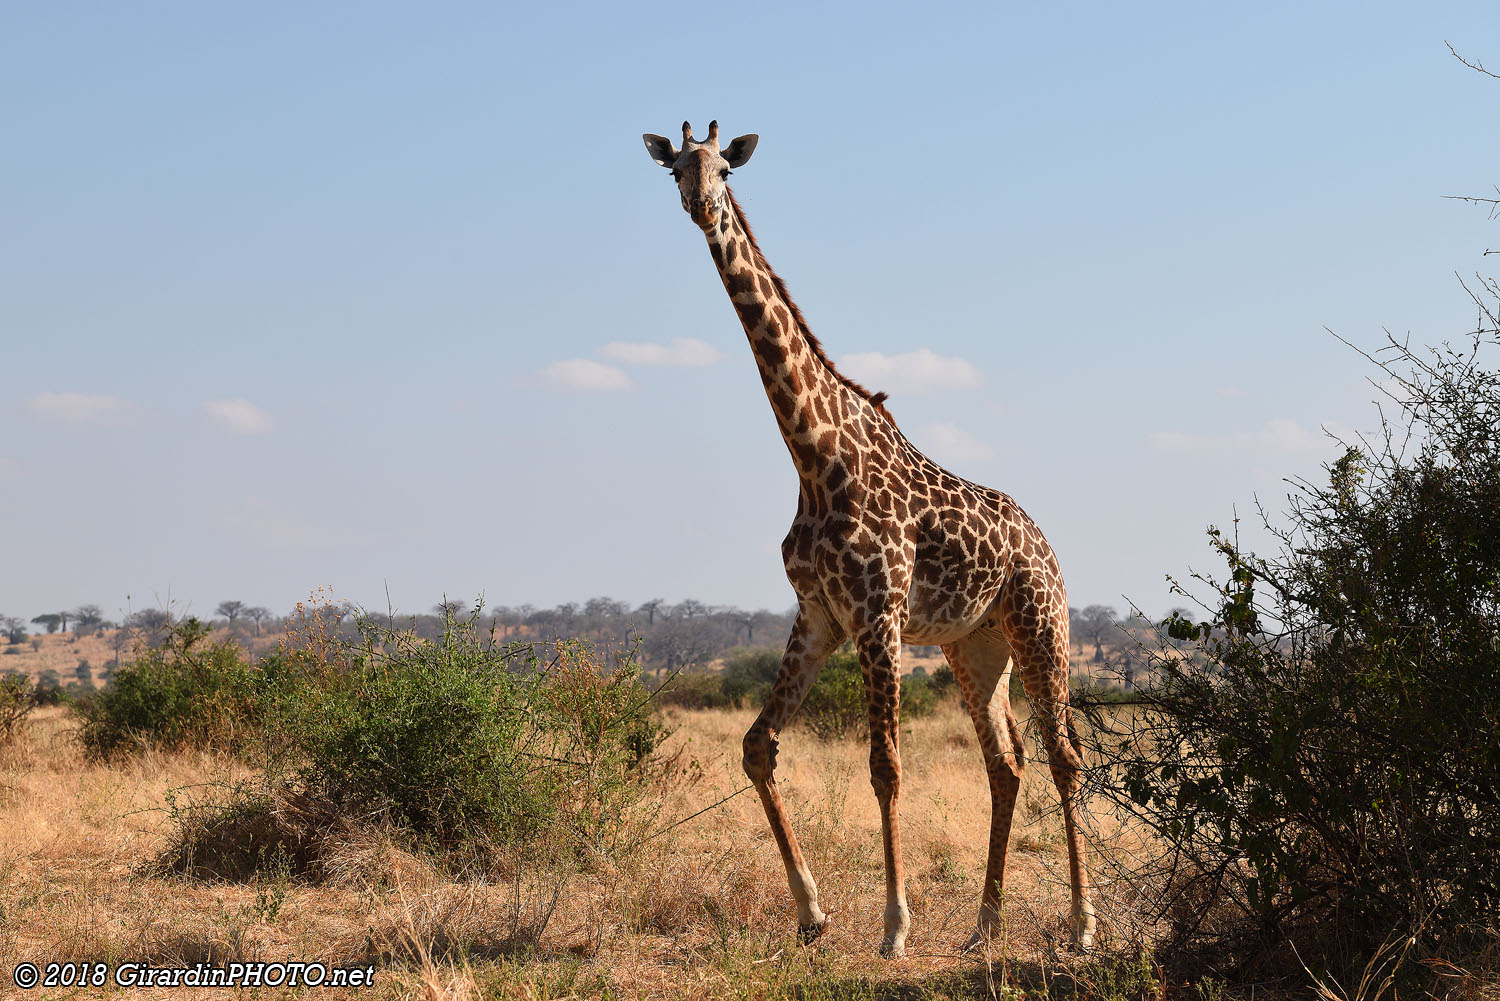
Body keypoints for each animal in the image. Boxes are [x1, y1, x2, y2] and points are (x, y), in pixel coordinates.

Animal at [642, 121, 1096, 958]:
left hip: (1042, 626)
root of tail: (1045, 544)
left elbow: (885, 764)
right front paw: (811, 913)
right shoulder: (820, 614)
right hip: (974, 645)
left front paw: (894, 926)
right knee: (1006, 762)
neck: (812, 454)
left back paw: (1081, 924)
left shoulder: (878, 613)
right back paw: (983, 925)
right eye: (676, 168)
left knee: (1064, 755)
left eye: (725, 168)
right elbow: (757, 745)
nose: (702, 204)